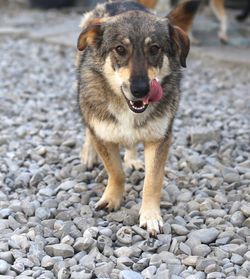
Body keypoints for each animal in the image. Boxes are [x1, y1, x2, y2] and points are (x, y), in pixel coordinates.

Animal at [75, 0, 197, 236]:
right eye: (120, 49)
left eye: (155, 48)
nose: (140, 90)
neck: (127, 109)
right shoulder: (103, 134)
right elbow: (115, 172)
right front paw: (112, 198)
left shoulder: (159, 139)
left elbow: (153, 180)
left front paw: (150, 216)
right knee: (88, 128)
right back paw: (88, 153)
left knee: (131, 142)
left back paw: (132, 159)